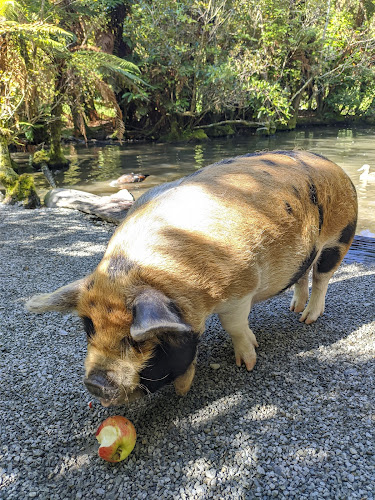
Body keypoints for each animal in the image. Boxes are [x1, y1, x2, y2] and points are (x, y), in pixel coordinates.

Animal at [25, 151, 358, 406]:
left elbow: (235, 327)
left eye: (138, 340)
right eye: (89, 328)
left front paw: (248, 363)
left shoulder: (240, 289)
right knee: (303, 276)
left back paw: (306, 319)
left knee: (322, 277)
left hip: (341, 235)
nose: (94, 383)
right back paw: (293, 309)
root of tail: (334, 165)